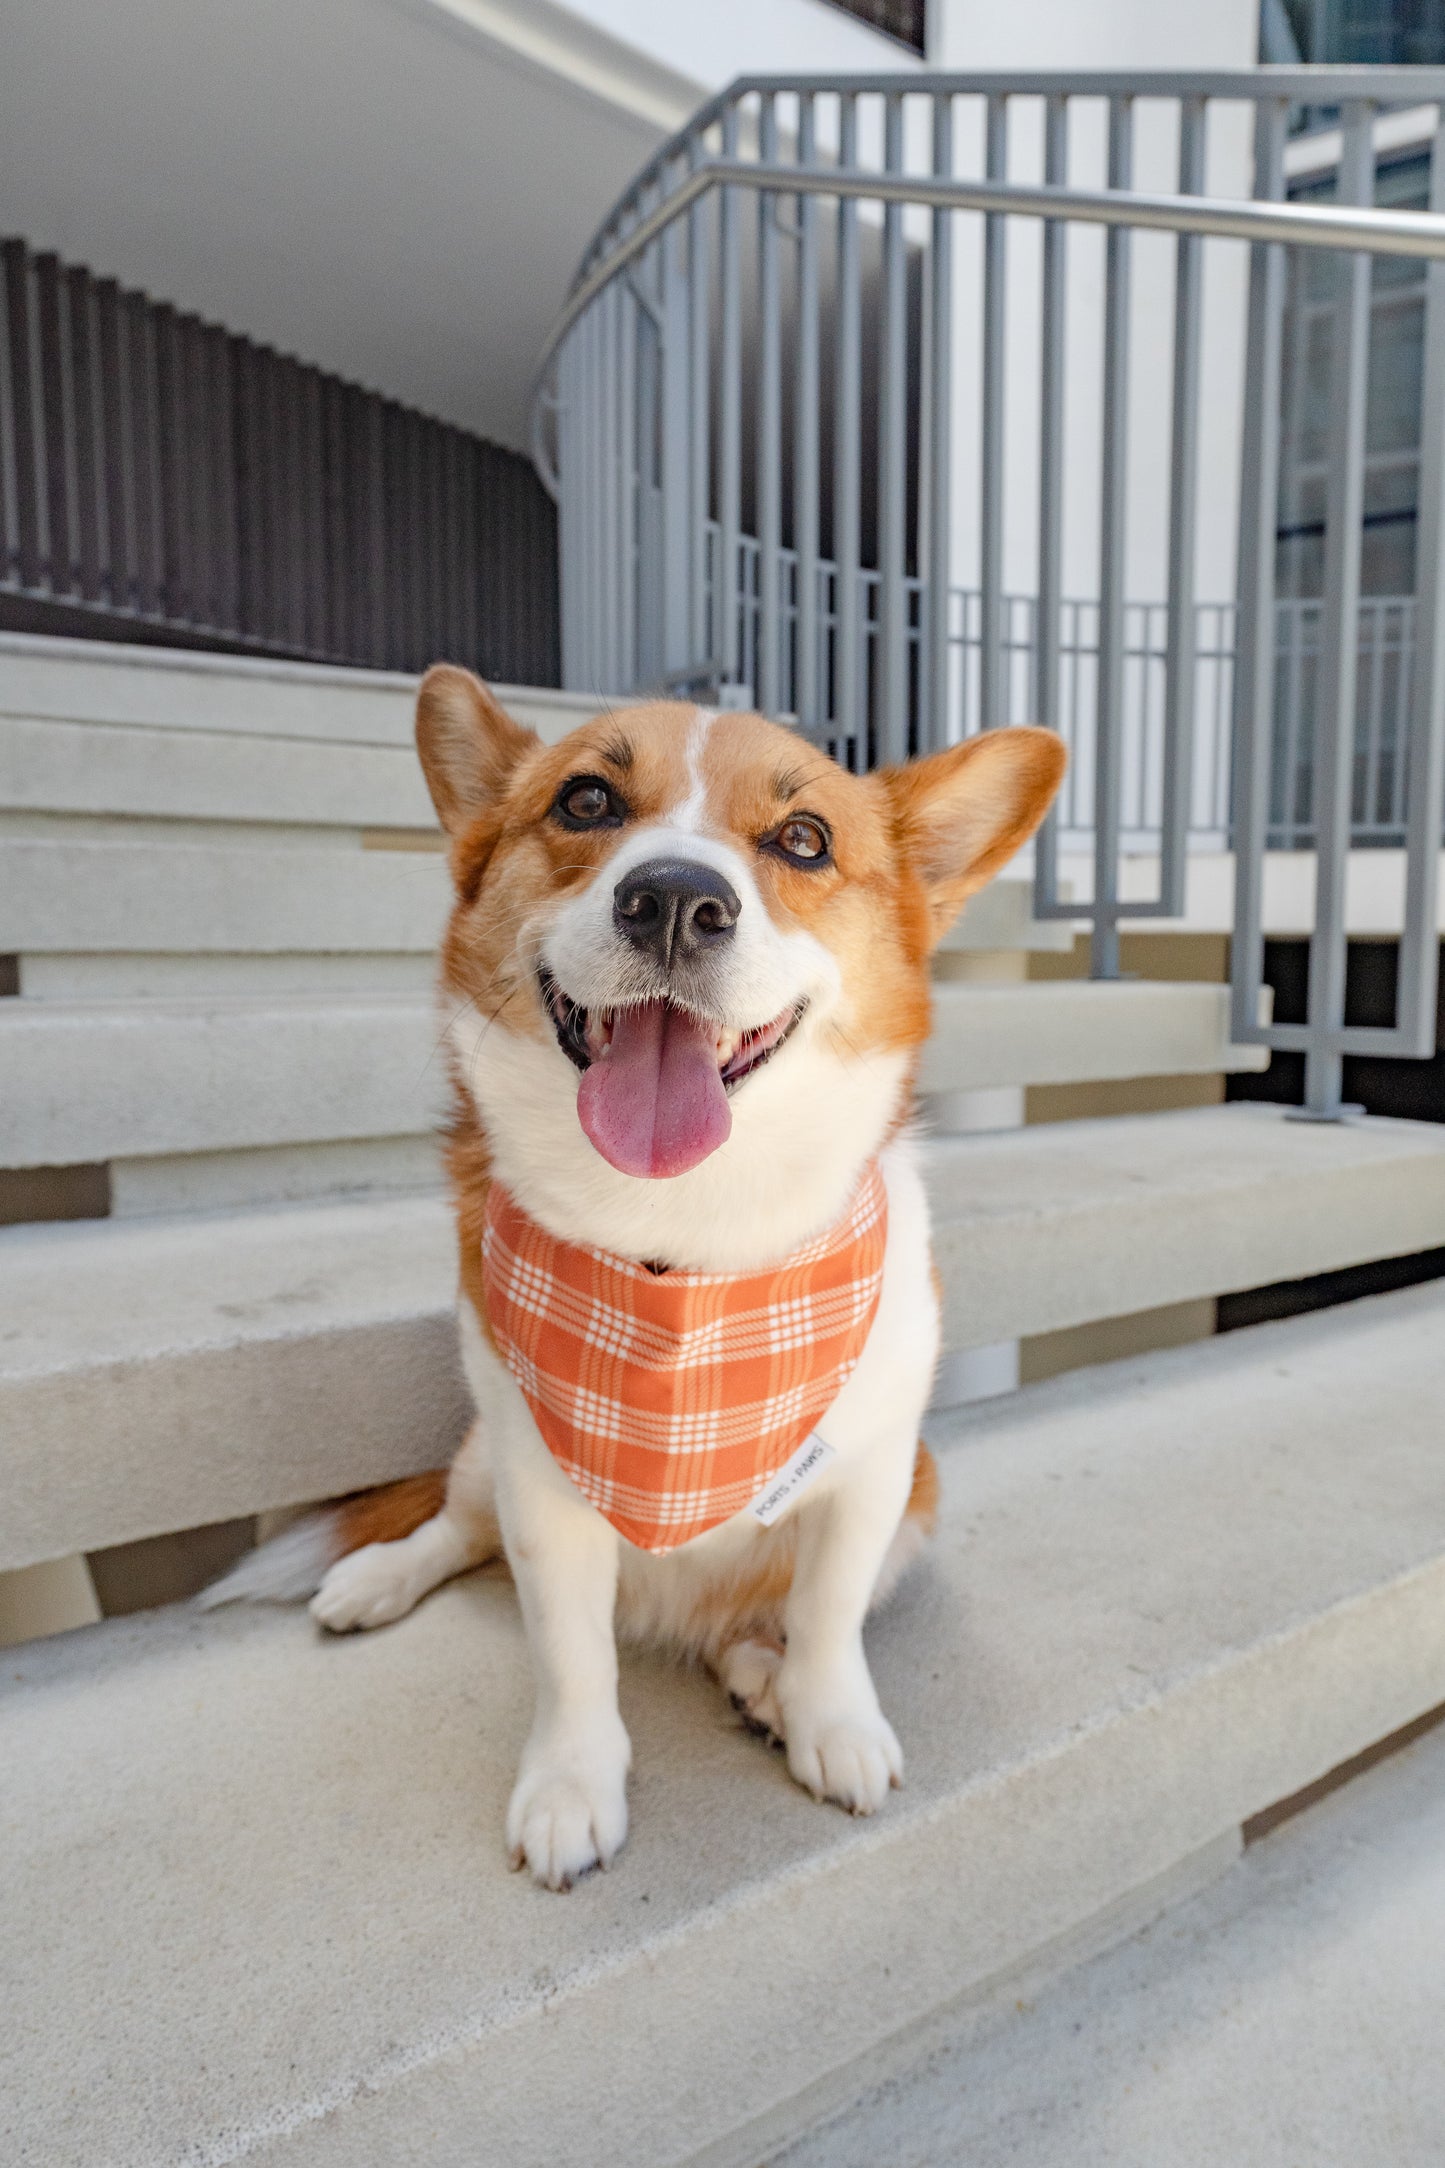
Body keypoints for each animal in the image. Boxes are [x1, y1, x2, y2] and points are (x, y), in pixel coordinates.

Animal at [212, 672, 1061, 1881]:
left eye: (803, 838)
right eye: (585, 800)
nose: (674, 900)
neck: (679, 1237)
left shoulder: (873, 1480)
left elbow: (830, 1616)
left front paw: (829, 1719)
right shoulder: (542, 1488)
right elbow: (570, 1658)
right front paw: (570, 1790)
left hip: (921, 1498)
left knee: (758, 1622)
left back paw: (757, 1673)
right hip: (482, 1456)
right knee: (452, 1528)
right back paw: (372, 1579)